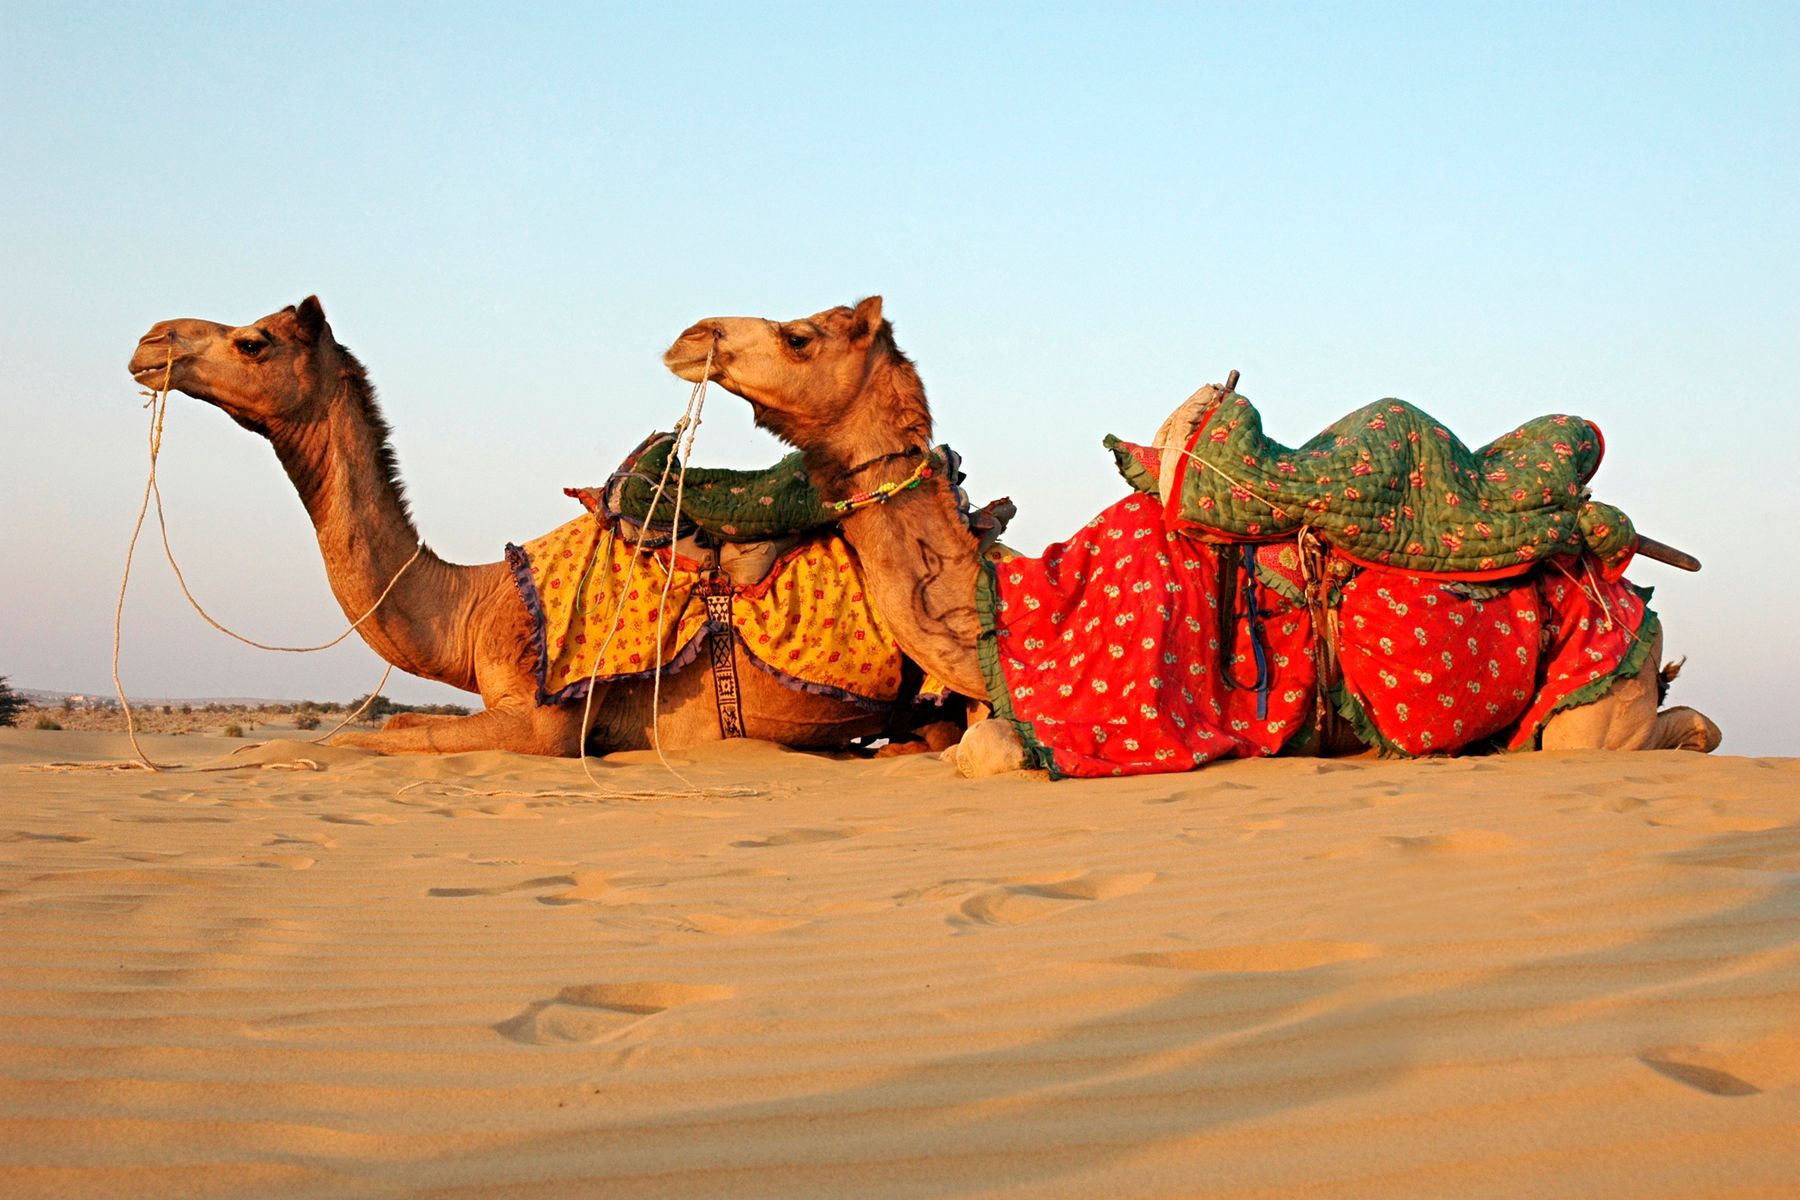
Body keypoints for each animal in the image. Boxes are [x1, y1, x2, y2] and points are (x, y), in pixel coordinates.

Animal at [666, 295, 1728, 773]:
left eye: (800, 335)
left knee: (1656, 732)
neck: (1004, 604)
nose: (691, 334)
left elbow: (990, 748)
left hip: (1596, 687)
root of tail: (1631, 588)